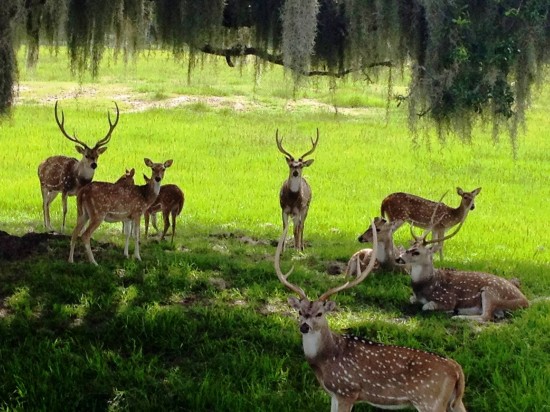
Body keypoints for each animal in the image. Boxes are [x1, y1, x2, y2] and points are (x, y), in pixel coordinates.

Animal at [38, 102, 121, 233]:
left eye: (97, 155)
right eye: (86, 155)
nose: (94, 164)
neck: (78, 180)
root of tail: (40, 165)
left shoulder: (78, 192)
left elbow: (80, 212)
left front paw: (81, 230)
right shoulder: (64, 188)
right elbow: (65, 210)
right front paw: (63, 229)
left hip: (54, 190)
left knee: (47, 203)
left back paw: (50, 227)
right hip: (43, 184)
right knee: (43, 203)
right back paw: (46, 226)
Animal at [276, 222, 470, 412]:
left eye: (319, 313)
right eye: (300, 312)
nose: (304, 327)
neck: (326, 359)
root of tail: (456, 369)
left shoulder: (346, 390)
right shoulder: (334, 394)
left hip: (430, 401)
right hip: (454, 402)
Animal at [396, 224, 532, 324]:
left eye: (416, 252)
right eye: (409, 247)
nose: (398, 258)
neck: (427, 284)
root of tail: (526, 302)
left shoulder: (448, 299)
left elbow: (426, 306)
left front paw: (449, 311)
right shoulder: (415, 296)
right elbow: (412, 299)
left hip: (491, 291)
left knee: (486, 316)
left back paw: (458, 317)